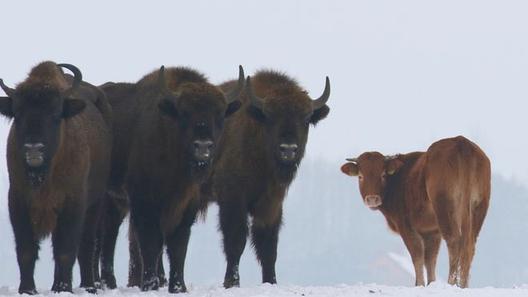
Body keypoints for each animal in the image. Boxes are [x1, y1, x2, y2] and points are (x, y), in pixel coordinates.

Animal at [0, 61, 111, 292]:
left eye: (55, 114)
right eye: (18, 114)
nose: (34, 148)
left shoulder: (73, 203)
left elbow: (66, 251)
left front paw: (63, 288)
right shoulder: (18, 201)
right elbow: (26, 250)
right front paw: (27, 289)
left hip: (95, 204)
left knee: (87, 246)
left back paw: (88, 286)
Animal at [98, 65, 244, 292]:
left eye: (219, 114)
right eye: (184, 113)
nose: (203, 146)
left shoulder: (188, 205)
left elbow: (178, 245)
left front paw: (178, 287)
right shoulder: (144, 201)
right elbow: (151, 242)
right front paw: (150, 285)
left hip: (116, 201)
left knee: (109, 234)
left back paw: (109, 283)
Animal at [207, 70, 328, 286]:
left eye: (306, 118)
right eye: (271, 117)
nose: (288, 149)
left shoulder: (271, 203)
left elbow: (268, 246)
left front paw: (271, 282)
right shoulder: (232, 198)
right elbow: (236, 240)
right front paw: (232, 283)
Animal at [340, 136, 492, 286]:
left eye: (383, 175)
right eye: (360, 176)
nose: (372, 199)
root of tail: (461, 142)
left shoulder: (407, 227)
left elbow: (417, 255)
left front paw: (419, 284)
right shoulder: (432, 232)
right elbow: (430, 259)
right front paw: (431, 283)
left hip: (445, 206)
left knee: (454, 240)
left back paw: (451, 283)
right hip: (478, 207)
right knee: (470, 245)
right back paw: (463, 285)